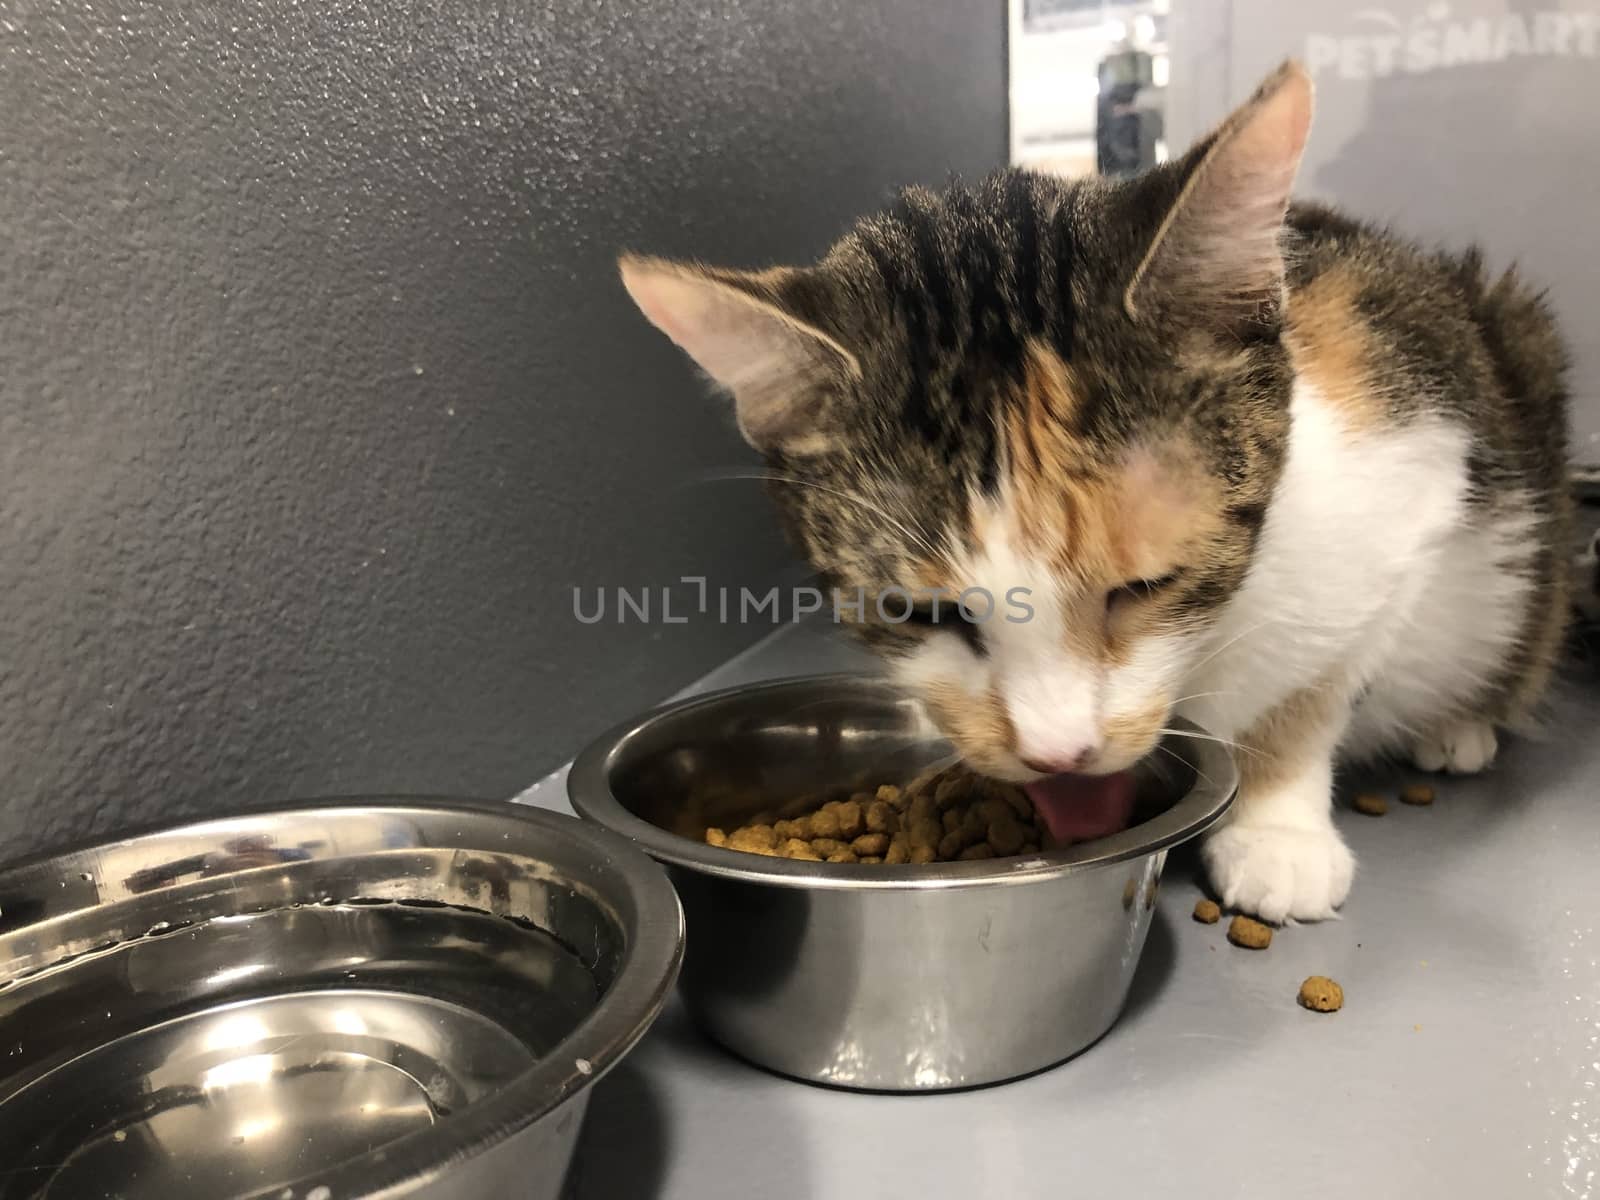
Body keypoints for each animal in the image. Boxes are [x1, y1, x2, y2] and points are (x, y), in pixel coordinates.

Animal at [617, 63, 1568, 921]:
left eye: (1146, 586)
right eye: (919, 614)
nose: (1058, 754)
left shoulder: (1406, 473)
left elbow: (1314, 689)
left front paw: (1277, 826)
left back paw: (1462, 725)